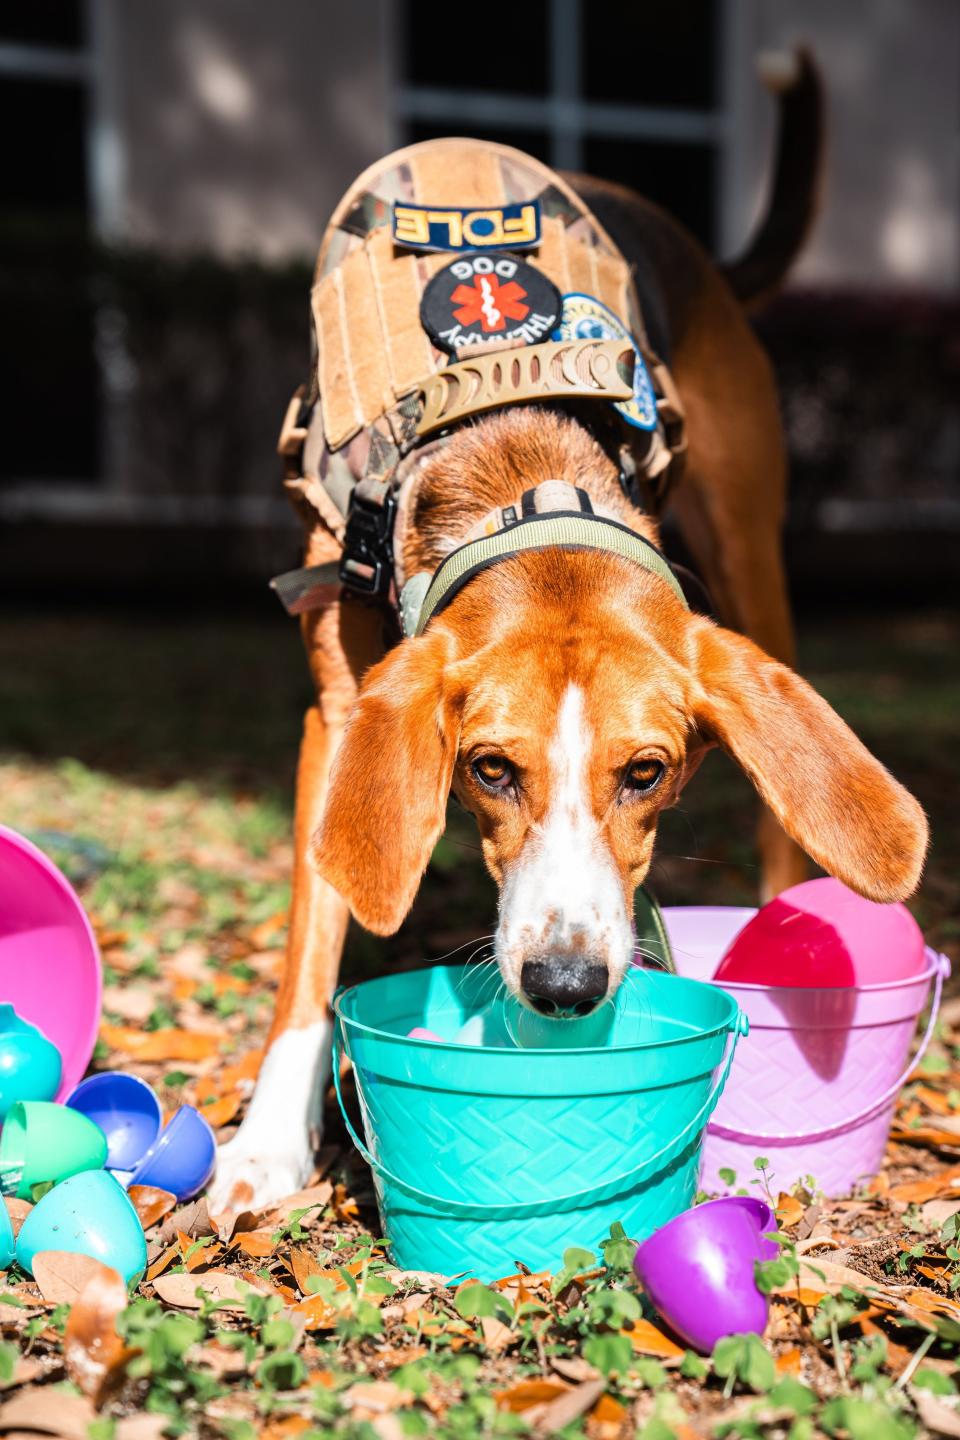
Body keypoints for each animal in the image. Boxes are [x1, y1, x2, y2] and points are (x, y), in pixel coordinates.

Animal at [208, 56, 921, 1209]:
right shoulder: (340, 713)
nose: (567, 985)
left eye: (649, 773)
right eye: (490, 769)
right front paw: (267, 1146)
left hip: (751, 551)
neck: (518, 467)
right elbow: (311, 953)